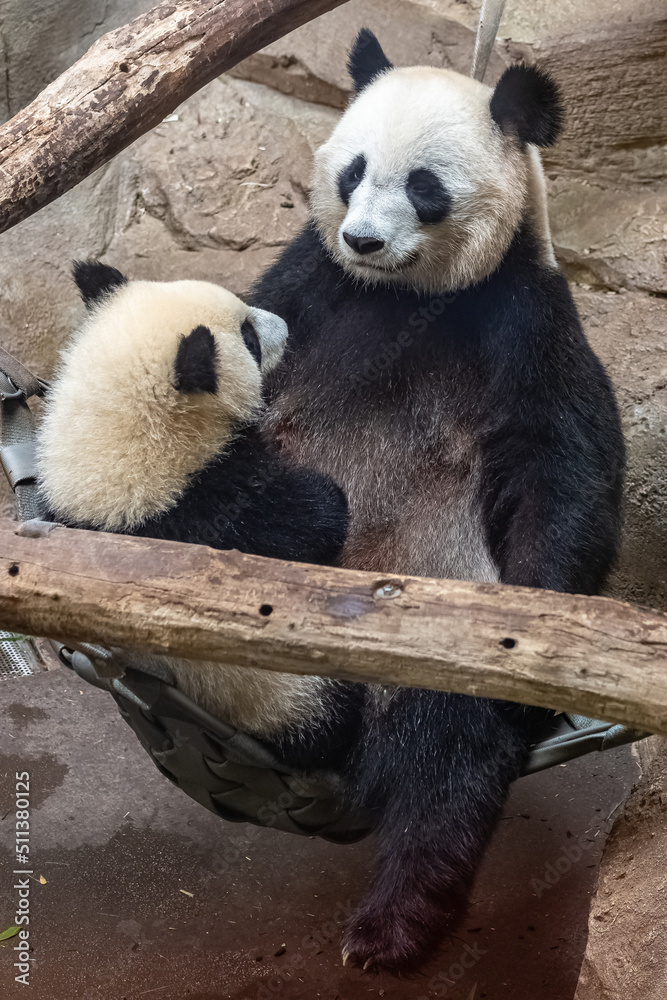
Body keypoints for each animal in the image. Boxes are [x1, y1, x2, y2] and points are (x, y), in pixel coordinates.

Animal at [37, 261, 361, 771]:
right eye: (249, 338)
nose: (284, 326)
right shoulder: (205, 514)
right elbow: (303, 523)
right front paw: (325, 500)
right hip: (277, 693)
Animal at [251, 30, 626, 973]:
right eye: (352, 170)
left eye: (423, 186)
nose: (362, 238)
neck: (401, 296)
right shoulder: (307, 282)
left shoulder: (520, 316)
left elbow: (560, 466)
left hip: (440, 615)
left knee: (447, 755)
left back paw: (393, 925)